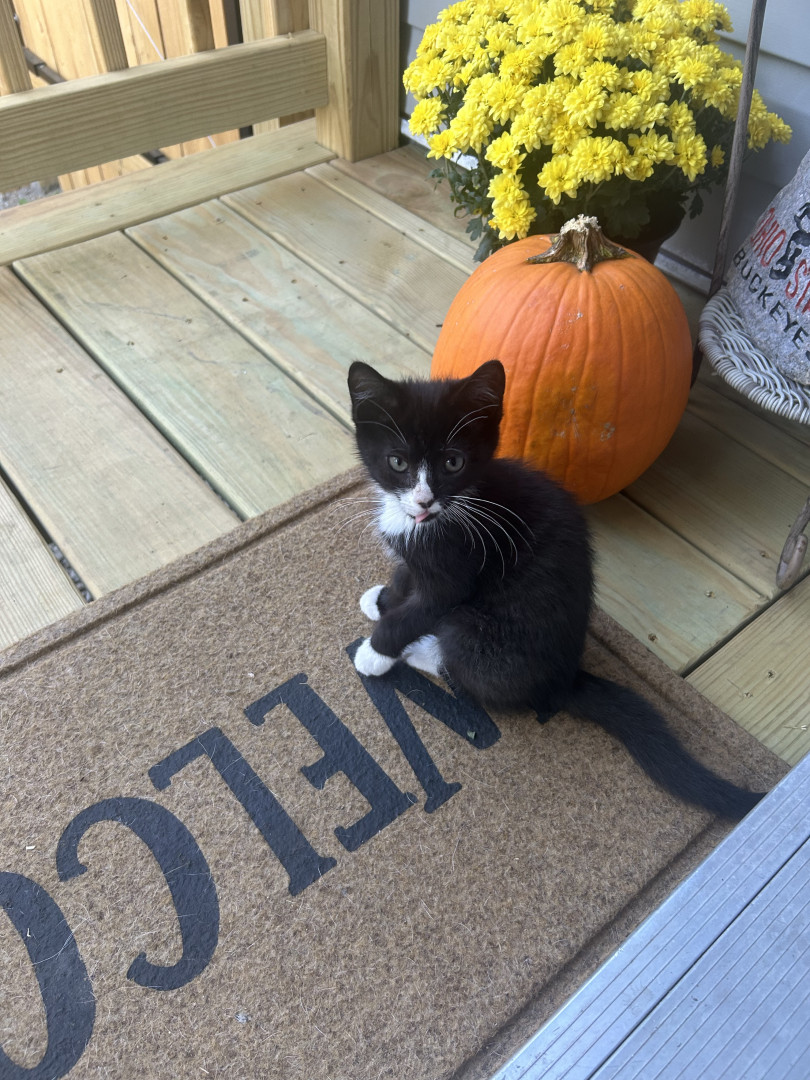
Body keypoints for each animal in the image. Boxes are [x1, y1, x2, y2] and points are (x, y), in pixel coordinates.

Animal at [346, 358, 764, 821]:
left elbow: (421, 609)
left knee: (478, 669)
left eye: (453, 462)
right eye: (397, 462)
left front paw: (375, 652)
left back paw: (422, 651)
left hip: (483, 630)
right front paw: (382, 599)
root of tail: (562, 682)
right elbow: (406, 578)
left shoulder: (455, 569)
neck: (449, 511)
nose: (422, 501)